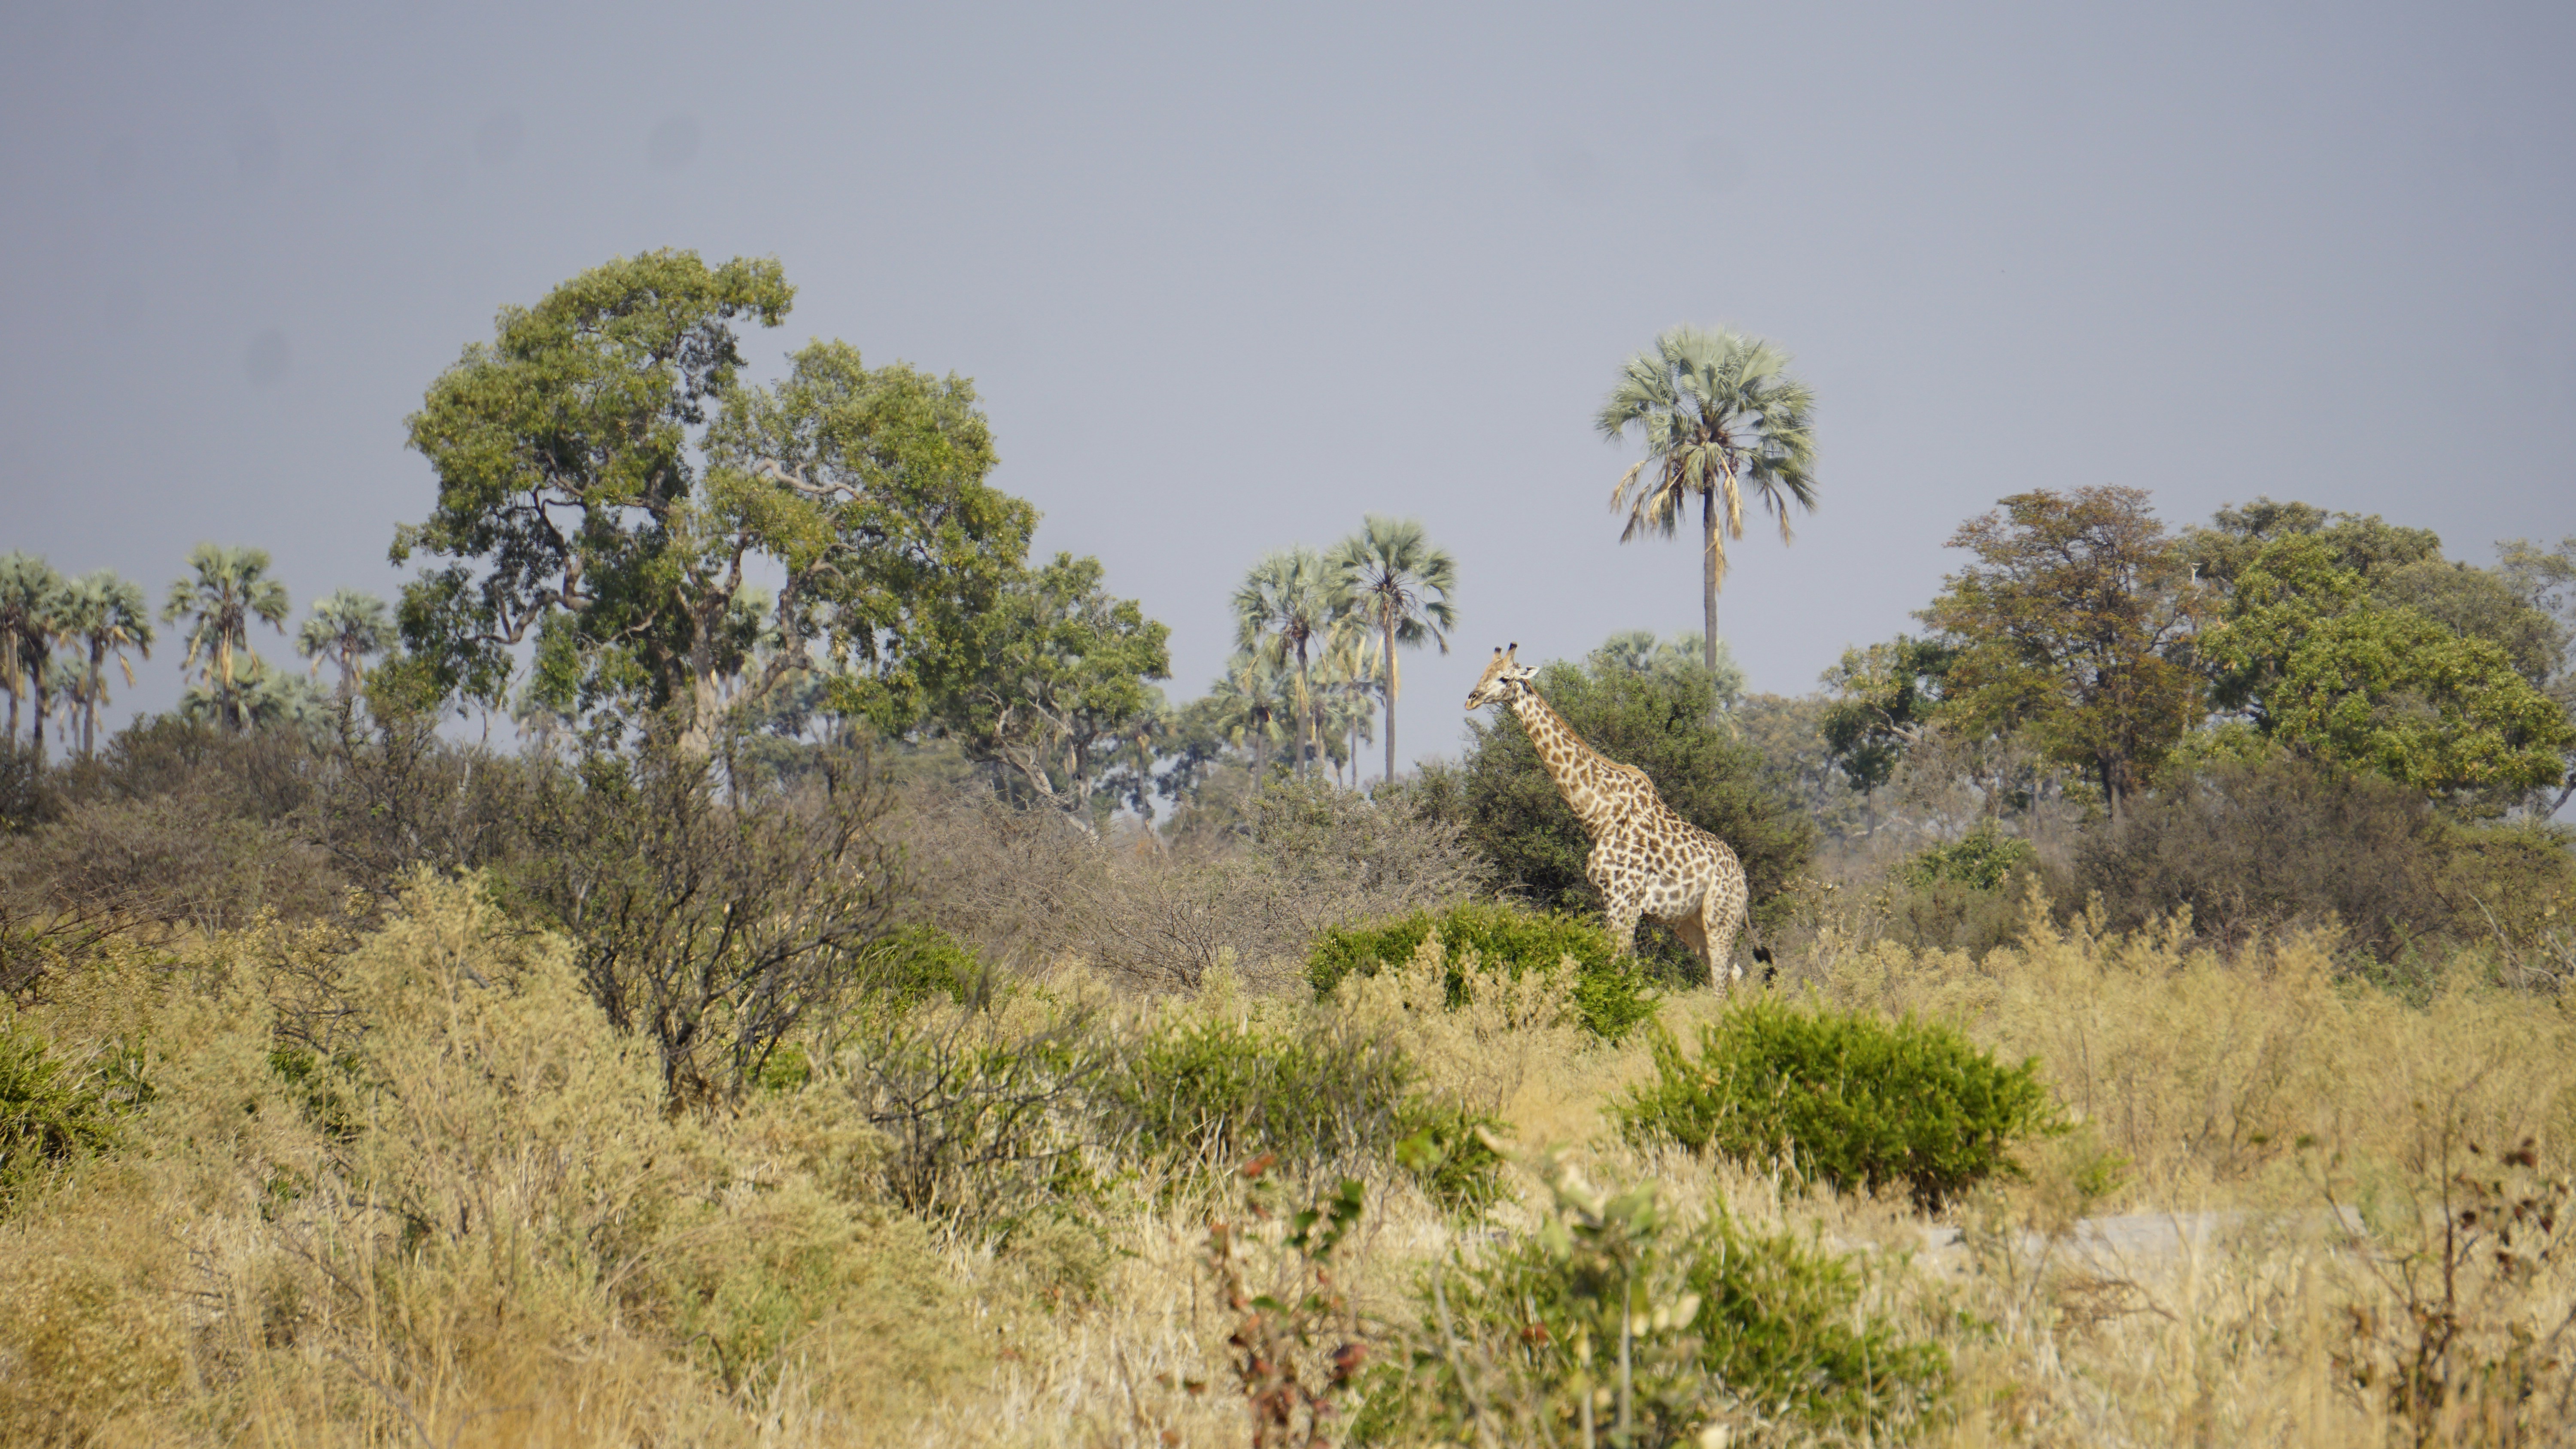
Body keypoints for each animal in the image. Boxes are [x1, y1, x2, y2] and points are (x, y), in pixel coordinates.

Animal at [1464, 644, 1753, 988]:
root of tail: (1743, 881)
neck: (1597, 816)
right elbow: (1630, 972)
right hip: (1689, 921)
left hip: (1721, 918)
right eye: (1484, 672)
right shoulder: (1611, 899)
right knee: (1733, 974)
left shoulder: (1624, 900)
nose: (1472, 698)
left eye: (1505, 678)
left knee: (1722, 980)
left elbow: (1616, 966)